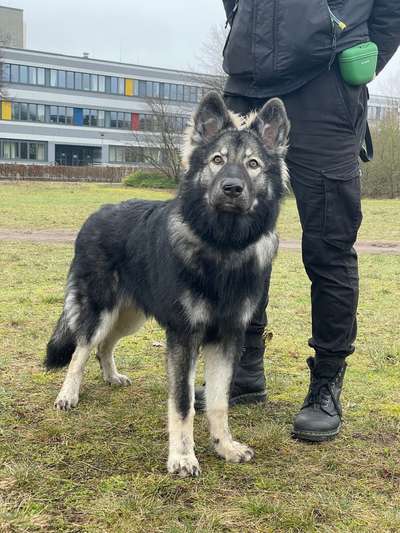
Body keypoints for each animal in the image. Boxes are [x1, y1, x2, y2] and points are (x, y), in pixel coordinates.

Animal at [46, 89, 290, 476]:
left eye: (253, 164)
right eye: (217, 160)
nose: (232, 188)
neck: (222, 245)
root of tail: (98, 213)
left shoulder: (227, 337)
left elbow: (219, 401)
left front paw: (224, 446)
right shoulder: (183, 337)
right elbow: (182, 403)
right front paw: (182, 457)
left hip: (129, 316)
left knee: (104, 346)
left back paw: (112, 376)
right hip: (101, 311)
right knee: (81, 349)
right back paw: (68, 395)